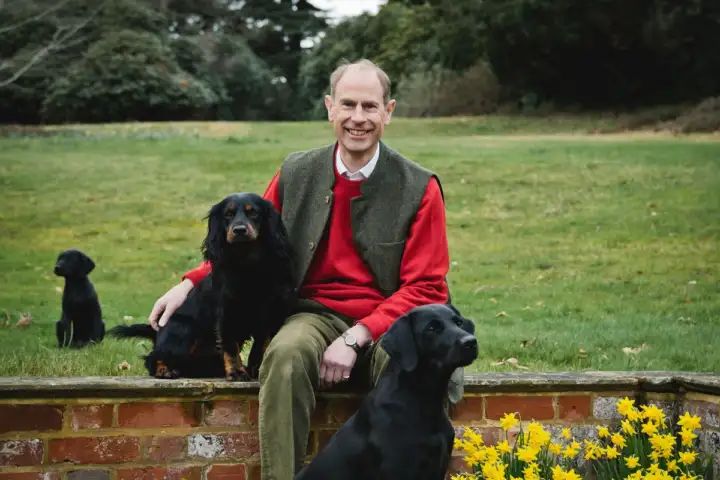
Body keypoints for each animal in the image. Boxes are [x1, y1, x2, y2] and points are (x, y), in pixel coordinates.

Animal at [110, 193, 296, 380]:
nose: (239, 230)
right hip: (182, 329)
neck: (248, 263)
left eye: (253, 213)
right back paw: (165, 370)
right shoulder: (227, 313)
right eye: (228, 214)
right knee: (153, 357)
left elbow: (261, 345)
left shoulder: (270, 312)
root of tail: (156, 332)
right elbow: (231, 346)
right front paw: (236, 372)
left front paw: (256, 370)